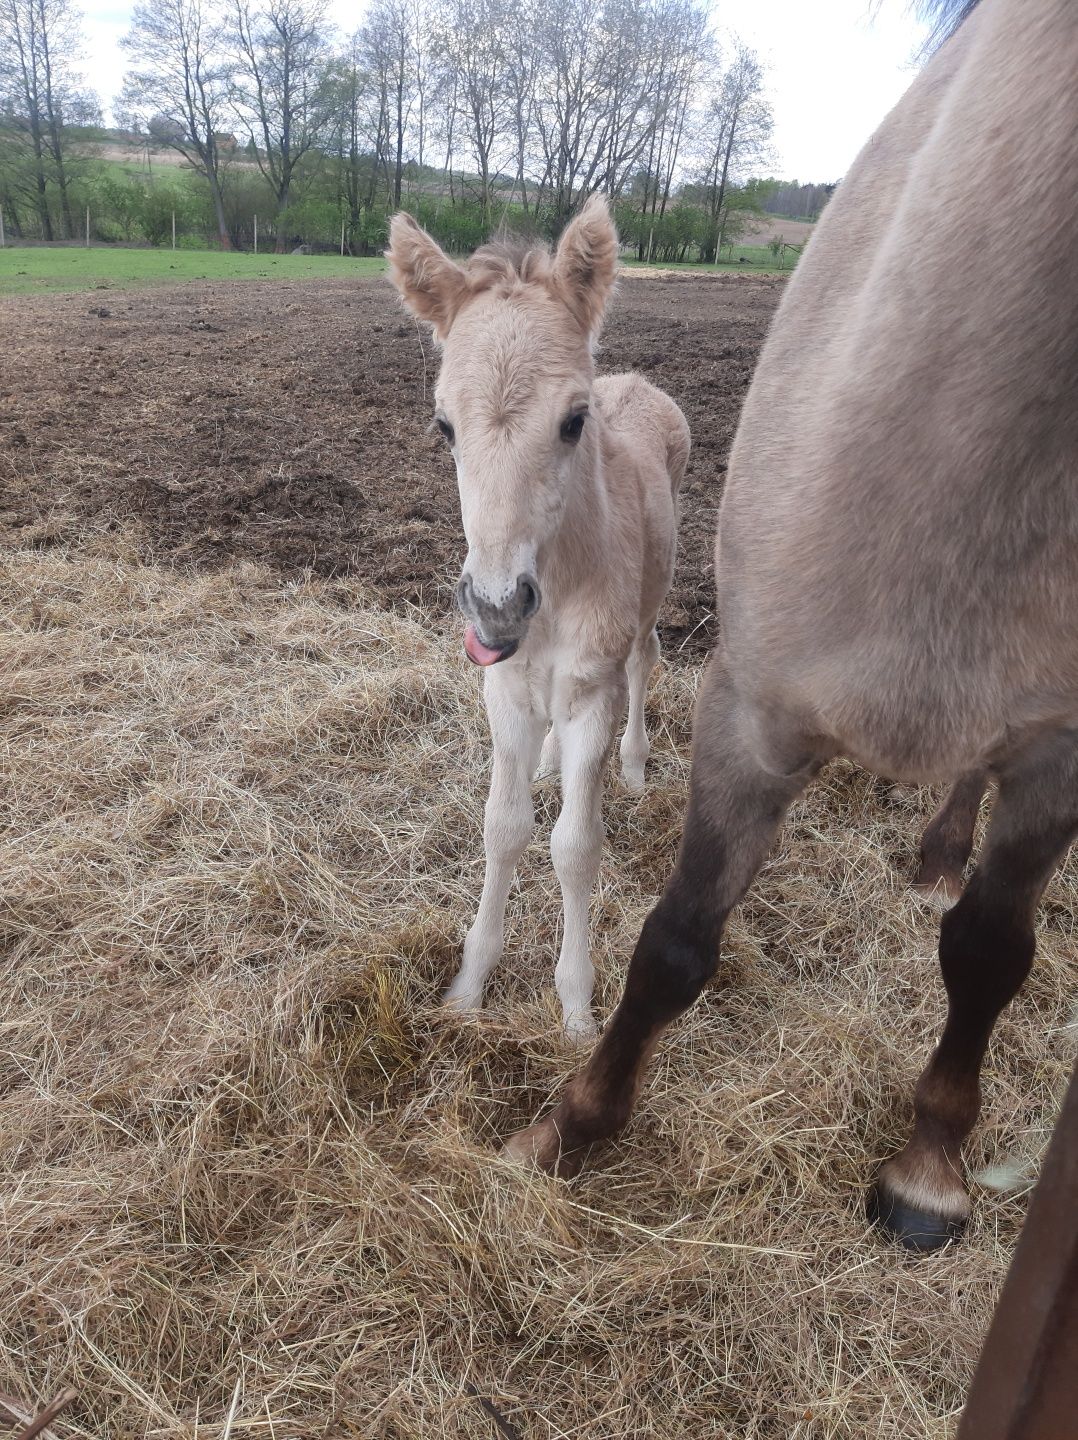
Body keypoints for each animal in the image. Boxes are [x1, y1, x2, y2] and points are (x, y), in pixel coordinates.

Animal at [385, 200, 690, 1036]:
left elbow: (575, 845)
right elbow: (504, 826)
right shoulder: (506, 690)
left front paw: (578, 1005)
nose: (495, 605)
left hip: (651, 602)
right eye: (444, 424)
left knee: (645, 661)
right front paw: (467, 984)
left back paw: (634, 763)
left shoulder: (588, 693)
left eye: (574, 420)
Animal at [503, 0, 1076, 1249]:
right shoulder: (750, 717)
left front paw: (927, 1169)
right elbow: (674, 941)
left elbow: (990, 952)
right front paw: (566, 1127)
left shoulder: (1059, 756)